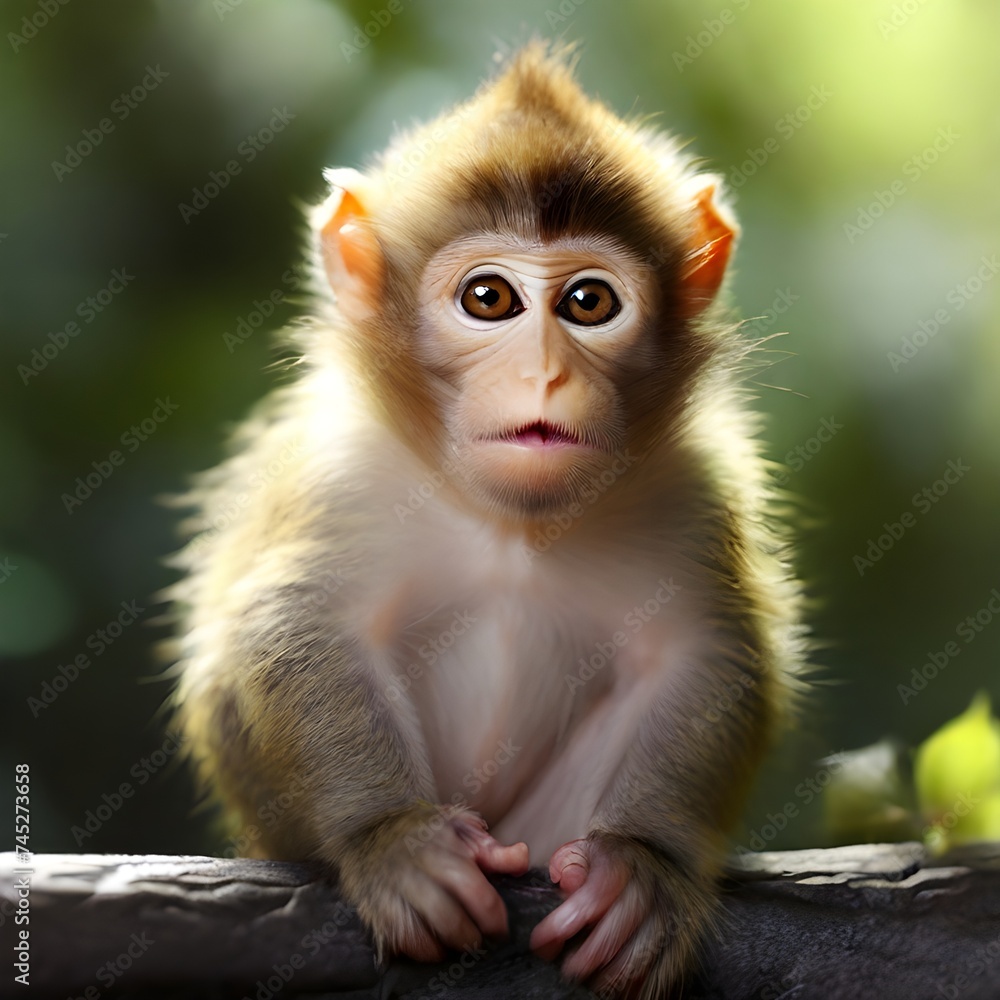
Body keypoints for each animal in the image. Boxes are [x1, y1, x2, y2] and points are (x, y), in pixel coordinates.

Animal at [168, 42, 805, 999]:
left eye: (588, 302)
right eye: (490, 299)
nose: (544, 374)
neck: (510, 528)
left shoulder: (692, 491)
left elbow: (711, 652)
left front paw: (643, 868)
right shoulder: (341, 474)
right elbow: (294, 627)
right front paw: (395, 842)